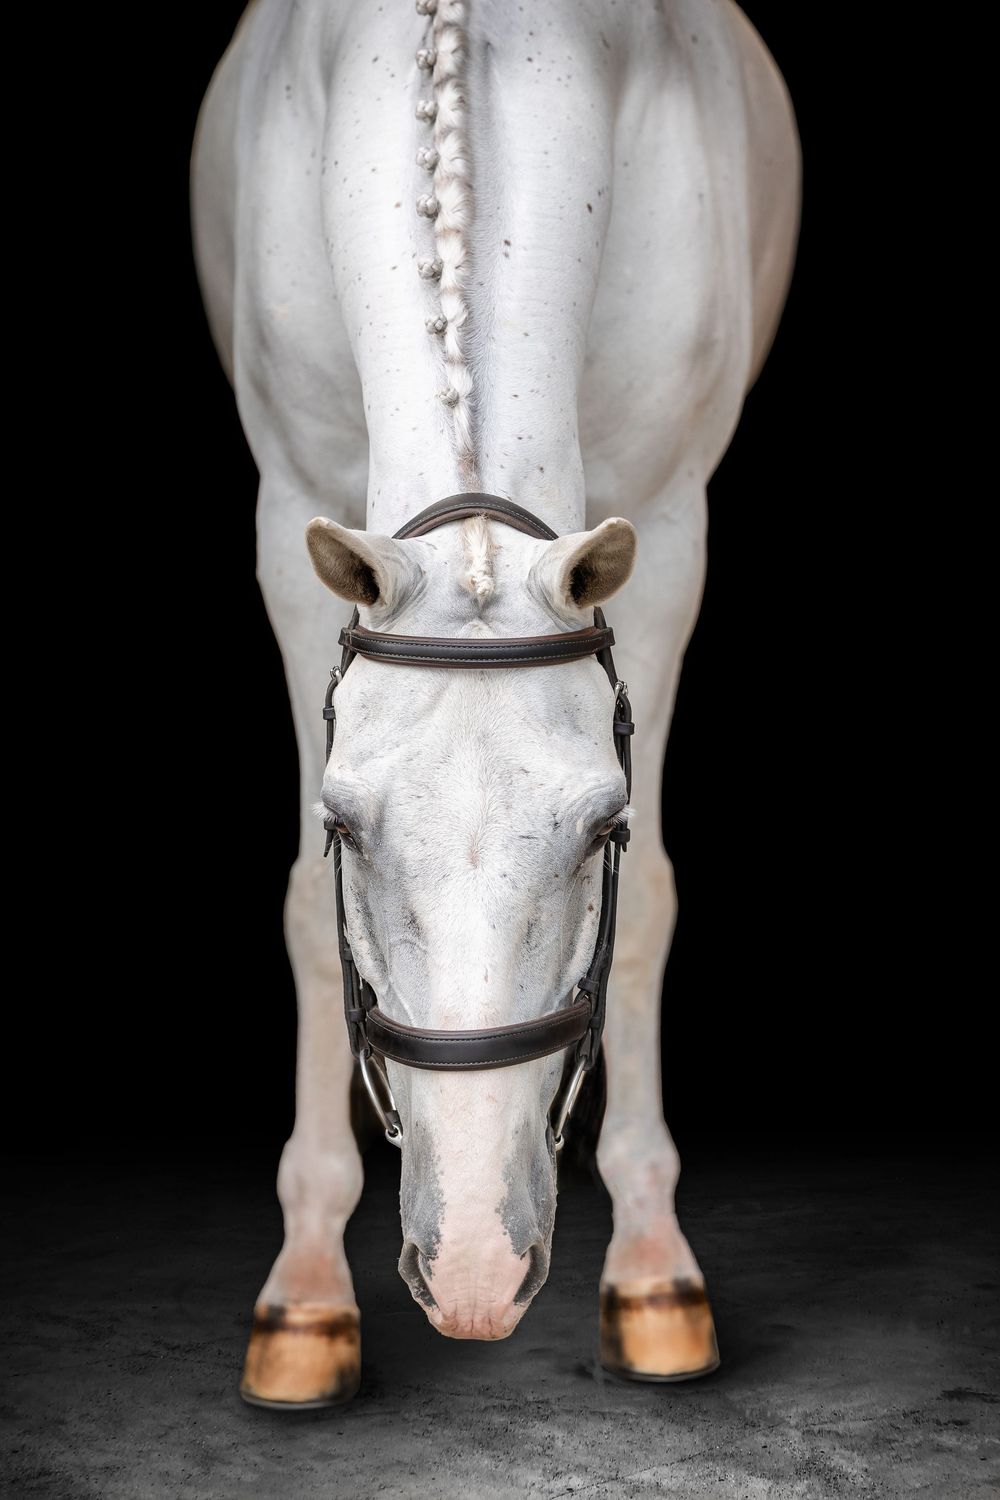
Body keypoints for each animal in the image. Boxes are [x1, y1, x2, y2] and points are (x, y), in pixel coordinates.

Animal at [192, 0, 799, 1407]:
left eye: (601, 830)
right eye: (345, 827)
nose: (472, 1267)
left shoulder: (669, 532)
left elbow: (653, 907)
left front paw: (652, 1272)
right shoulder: (288, 517)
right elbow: (303, 911)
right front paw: (305, 1296)